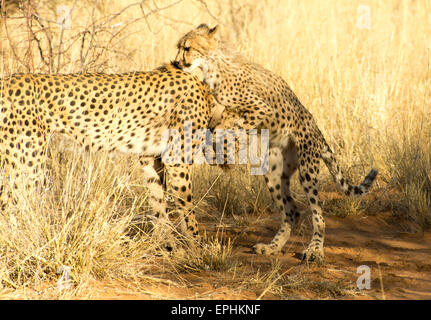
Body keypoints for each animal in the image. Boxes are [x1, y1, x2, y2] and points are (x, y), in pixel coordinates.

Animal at [0, 63, 216, 248]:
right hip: (28, 158)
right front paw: (196, 248)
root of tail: (7, 79)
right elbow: (186, 204)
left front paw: (165, 244)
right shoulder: (177, 158)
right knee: (12, 200)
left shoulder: (150, 157)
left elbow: (158, 201)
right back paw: (22, 242)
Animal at [173, 24, 378, 262]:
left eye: (187, 48)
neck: (213, 66)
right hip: (273, 171)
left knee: (318, 211)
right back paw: (273, 247)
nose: (176, 62)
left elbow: (230, 129)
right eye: (180, 47)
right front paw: (218, 151)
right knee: (291, 212)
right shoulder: (229, 112)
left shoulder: (260, 109)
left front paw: (222, 150)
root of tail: (318, 132)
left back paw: (315, 249)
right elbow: (222, 127)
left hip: (307, 170)